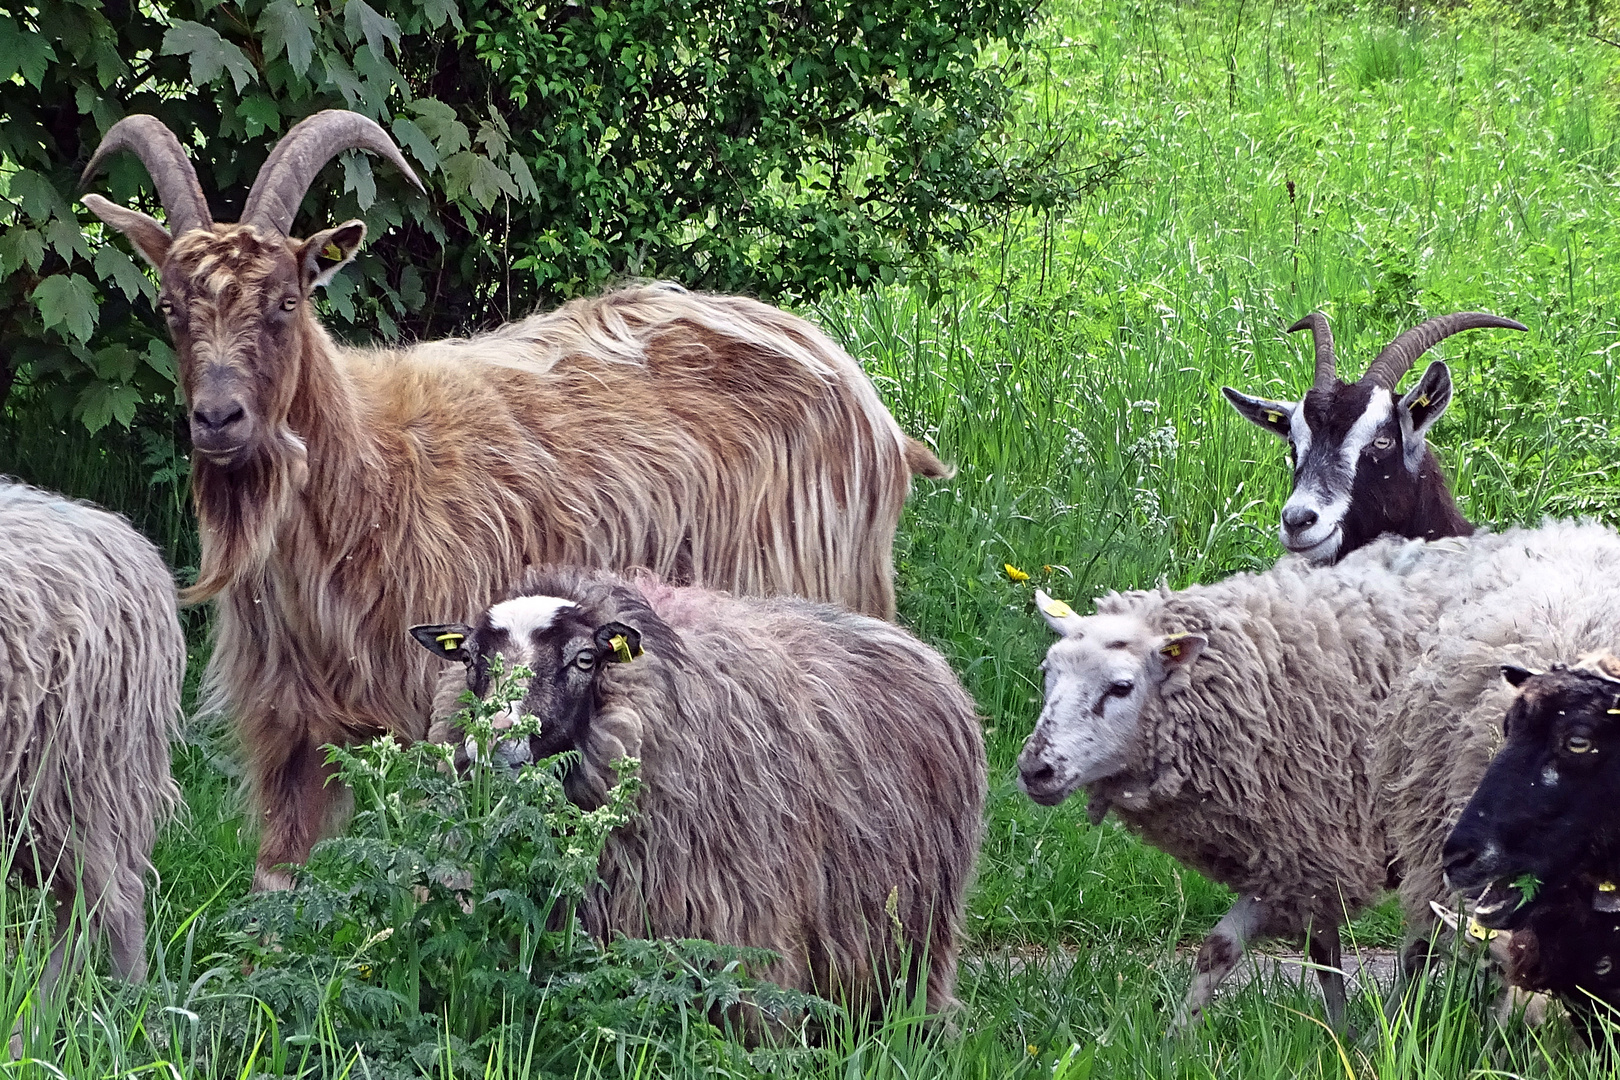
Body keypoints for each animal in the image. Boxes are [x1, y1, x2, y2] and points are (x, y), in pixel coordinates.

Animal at [82, 110, 946, 893]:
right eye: (170, 307)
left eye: (286, 303)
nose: (218, 419)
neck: (367, 477)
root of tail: (871, 406)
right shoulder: (290, 730)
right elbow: (279, 884)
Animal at [1017, 521, 1620, 1029]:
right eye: (1048, 673)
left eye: (1120, 687)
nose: (1033, 769)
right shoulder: (1297, 851)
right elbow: (1243, 950)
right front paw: (1180, 1041)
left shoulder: (1323, 837)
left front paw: (1360, 1037)